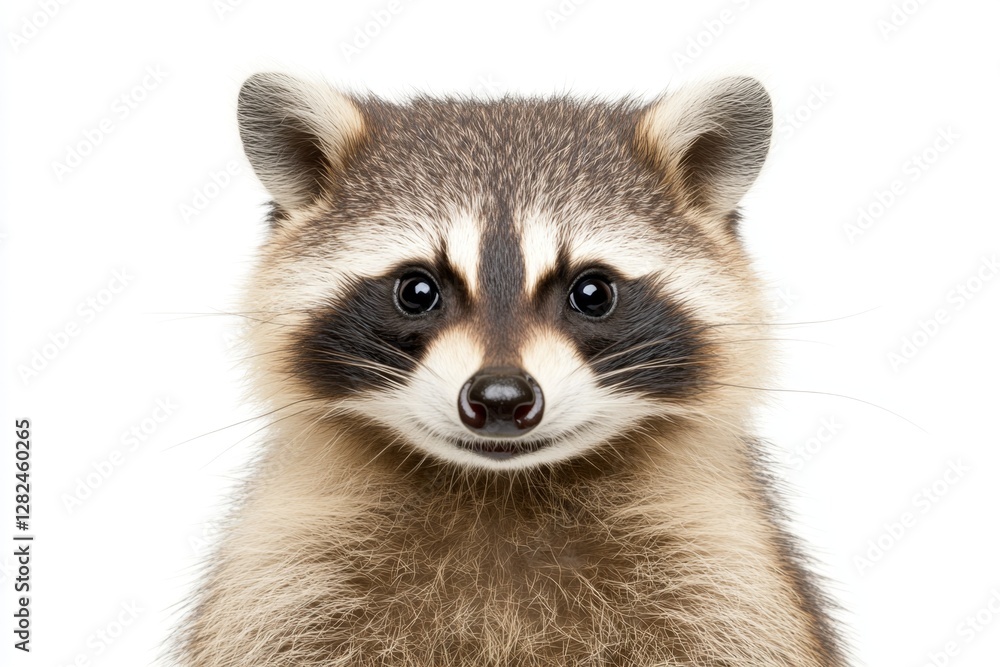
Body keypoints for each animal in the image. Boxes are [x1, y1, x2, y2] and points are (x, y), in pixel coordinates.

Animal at [176, 73, 847, 666]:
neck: (502, 490)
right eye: (417, 291)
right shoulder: (284, 580)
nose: (500, 397)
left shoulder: (726, 578)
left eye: (592, 293)